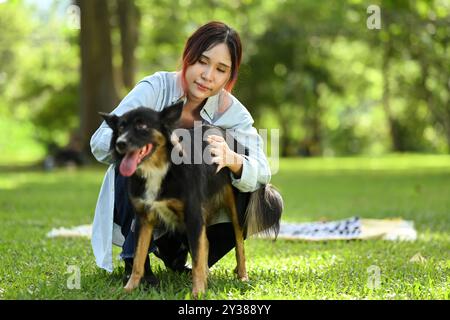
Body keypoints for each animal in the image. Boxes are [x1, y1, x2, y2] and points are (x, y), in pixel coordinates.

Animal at [101, 100, 284, 298]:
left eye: (142, 126)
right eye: (121, 127)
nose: (120, 143)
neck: (159, 168)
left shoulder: (193, 216)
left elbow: (197, 257)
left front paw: (198, 292)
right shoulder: (143, 218)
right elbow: (138, 259)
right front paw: (129, 288)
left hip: (236, 209)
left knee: (239, 245)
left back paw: (242, 276)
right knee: (207, 243)